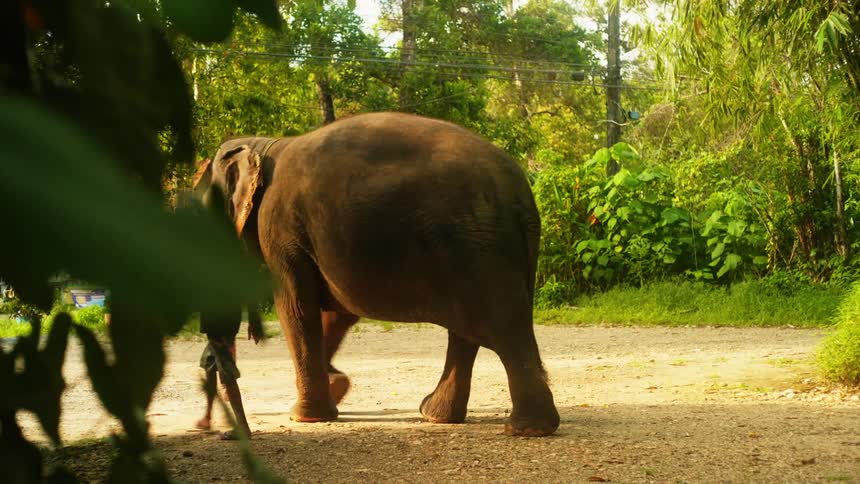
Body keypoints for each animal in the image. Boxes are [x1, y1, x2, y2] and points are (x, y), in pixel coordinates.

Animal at [193, 112, 560, 437]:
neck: (264, 144)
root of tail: (521, 194)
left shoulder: (281, 228)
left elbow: (297, 309)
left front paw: (305, 416)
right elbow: (337, 313)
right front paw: (337, 387)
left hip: (478, 248)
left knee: (505, 329)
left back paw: (526, 429)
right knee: (471, 333)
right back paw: (437, 415)